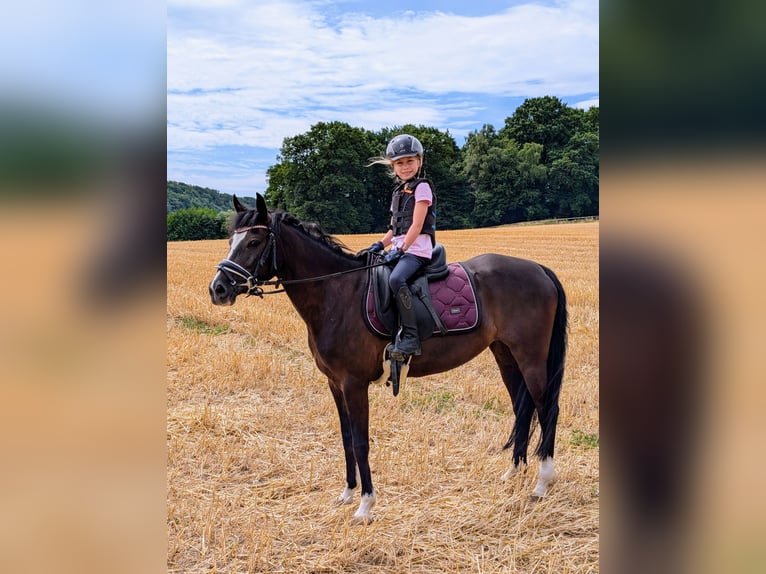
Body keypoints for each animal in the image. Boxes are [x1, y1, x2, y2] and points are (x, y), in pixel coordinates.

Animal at [209, 194, 568, 522]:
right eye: (230, 241)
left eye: (254, 241)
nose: (218, 289)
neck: (337, 293)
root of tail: (539, 269)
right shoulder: (334, 383)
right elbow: (346, 438)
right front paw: (347, 493)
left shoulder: (353, 384)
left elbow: (361, 441)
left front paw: (365, 505)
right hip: (505, 354)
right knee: (522, 408)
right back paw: (514, 472)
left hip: (531, 356)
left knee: (547, 409)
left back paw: (542, 483)